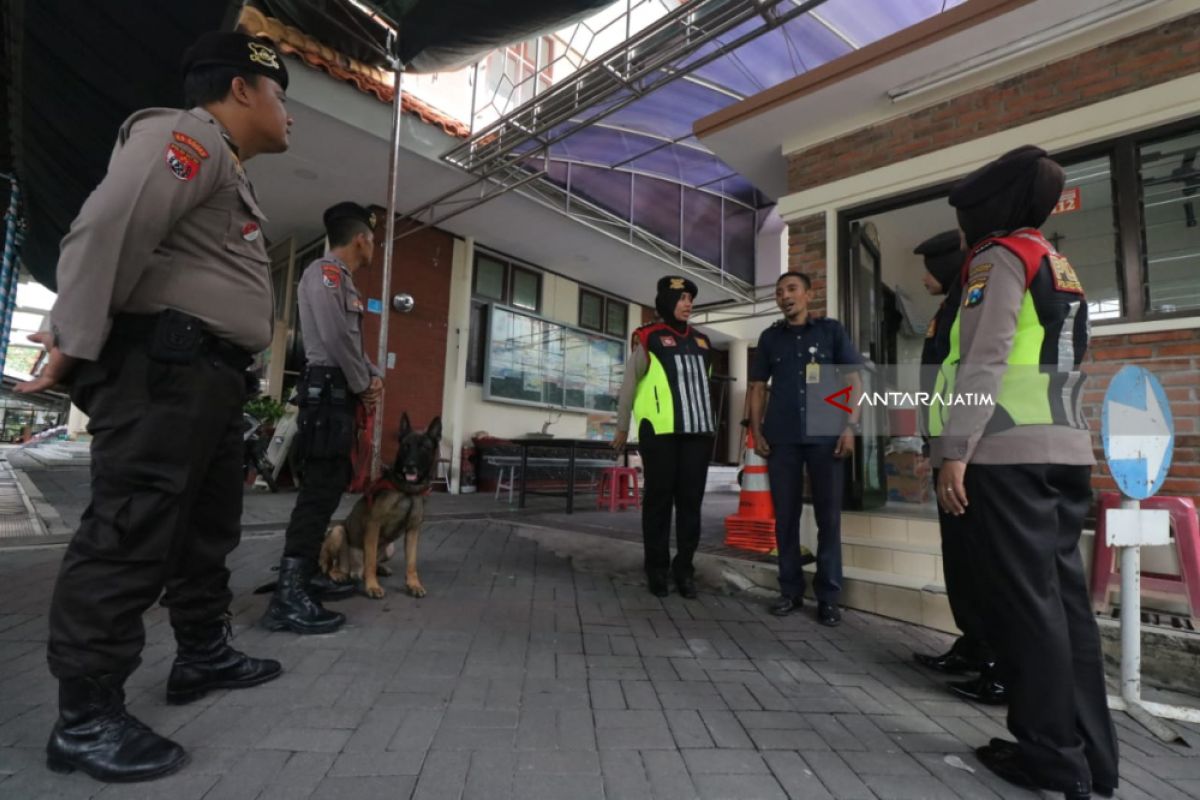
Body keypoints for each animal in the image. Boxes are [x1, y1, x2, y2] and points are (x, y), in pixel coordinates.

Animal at [319, 417, 441, 597]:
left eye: (424, 448)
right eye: (405, 446)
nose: (410, 465)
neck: (407, 491)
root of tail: (355, 570)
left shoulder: (413, 530)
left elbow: (411, 563)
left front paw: (413, 584)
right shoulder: (373, 526)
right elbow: (369, 561)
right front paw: (372, 586)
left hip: (390, 548)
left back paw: (381, 568)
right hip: (337, 532)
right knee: (331, 566)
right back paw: (339, 574)